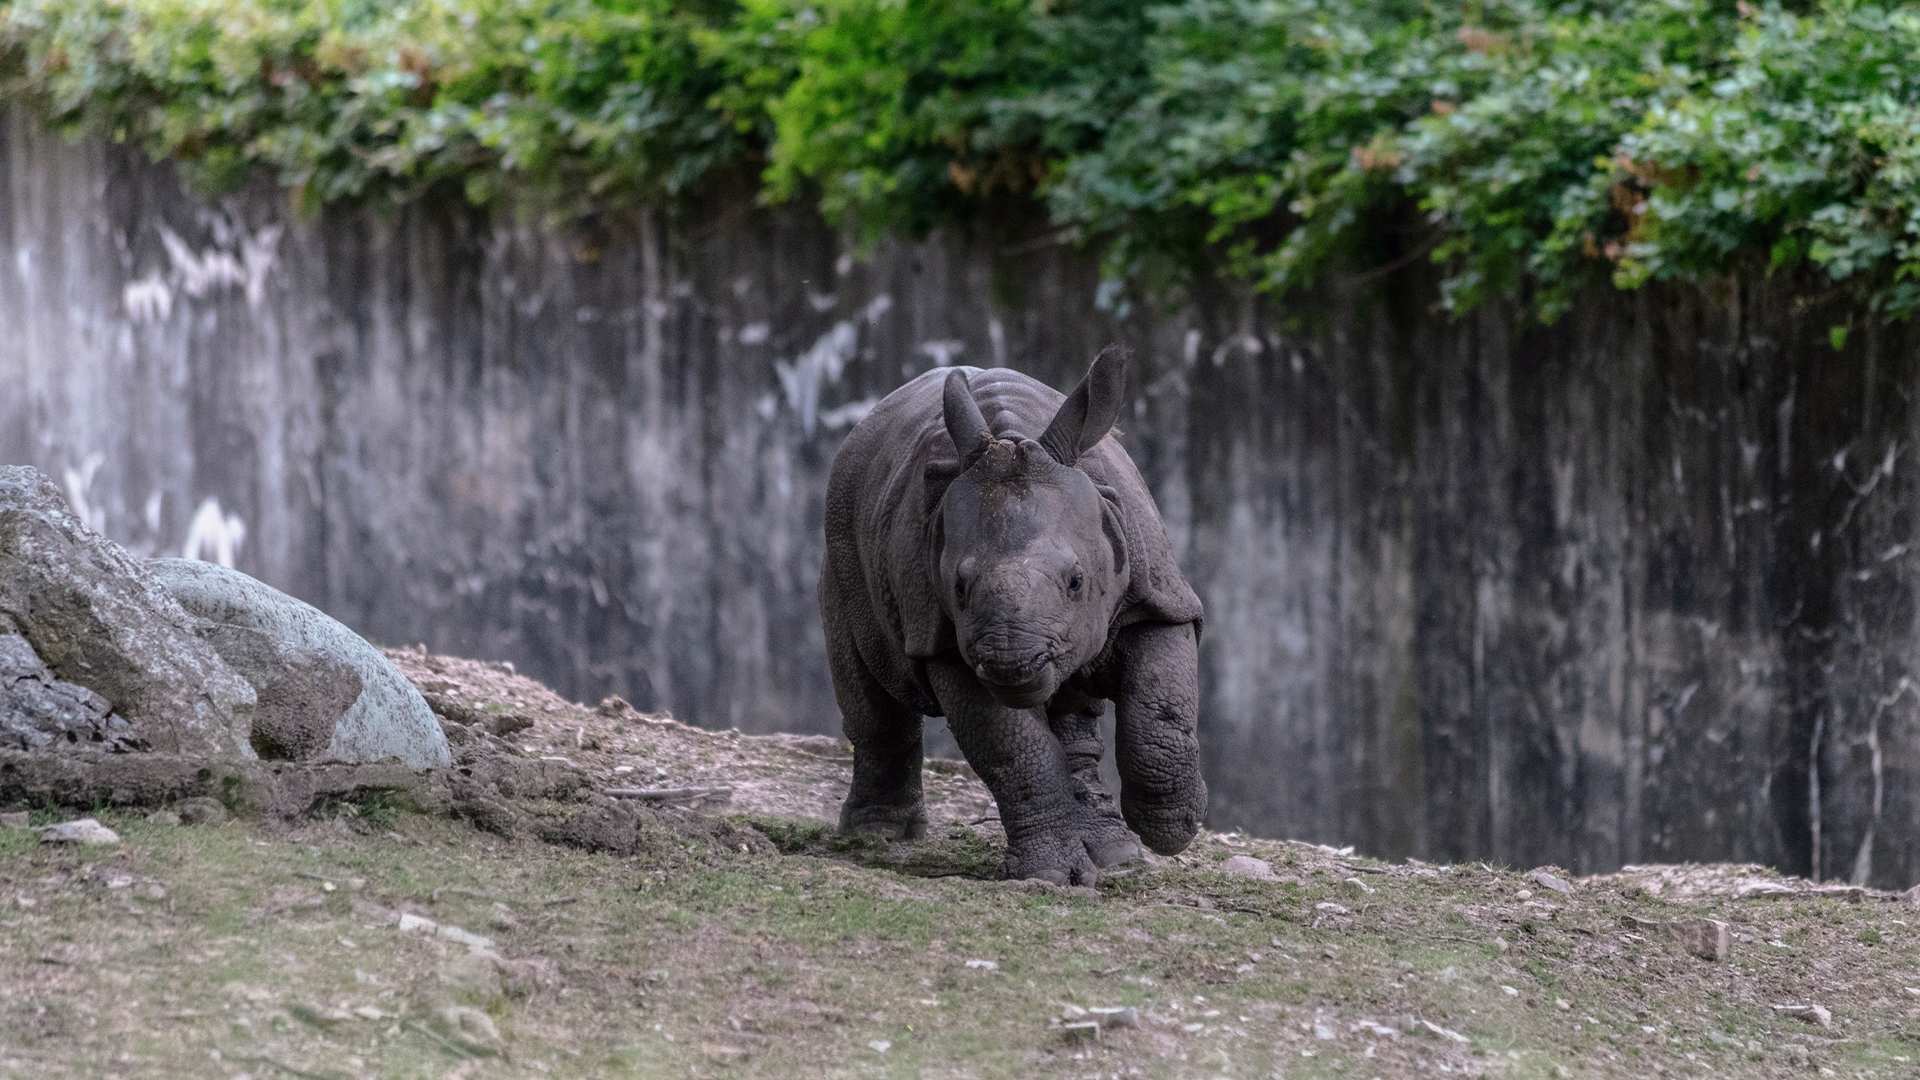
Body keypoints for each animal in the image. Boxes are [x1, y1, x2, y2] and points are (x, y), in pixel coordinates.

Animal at [820, 345, 1205, 885]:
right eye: (959, 588)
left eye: (1076, 582)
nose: (1013, 663)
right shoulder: (946, 643)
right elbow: (1016, 751)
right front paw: (1050, 878)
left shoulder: (1158, 599)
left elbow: (1161, 711)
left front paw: (1173, 828)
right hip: (841, 546)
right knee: (869, 687)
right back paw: (878, 835)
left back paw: (1117, 855)